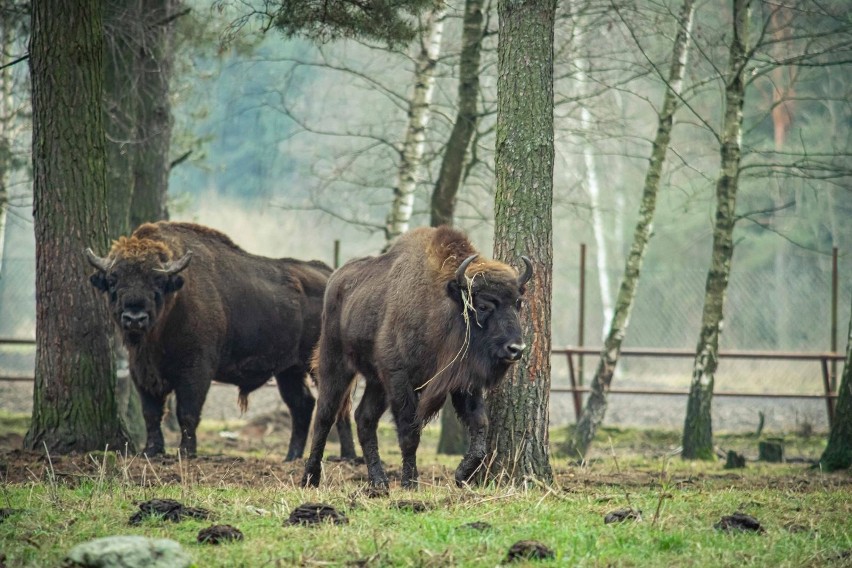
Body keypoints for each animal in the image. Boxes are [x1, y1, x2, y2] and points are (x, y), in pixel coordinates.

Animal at [85, 222, 354, 462]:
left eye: (157, 281)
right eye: (113, 279)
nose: (134, 318)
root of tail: (331, 276)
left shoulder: (196, 371)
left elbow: (187, 412)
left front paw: (186, 452)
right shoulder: (142, 372)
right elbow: (151, 413)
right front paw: (151, 451)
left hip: (320, 365)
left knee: (336, 404)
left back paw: (347, 457)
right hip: (289, 370)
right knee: (301, 405)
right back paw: (292, 456)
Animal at [302, 226, 532, 488]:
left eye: (517, 303)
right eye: (483, 306)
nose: (516, 348)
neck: (442, 305)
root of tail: (335, 280)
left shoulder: (463, 381)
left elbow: (479, 423)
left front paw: (462, 475)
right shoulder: (400, 379)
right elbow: (409, 432)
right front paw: (410, 482)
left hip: (376, 383)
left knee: (364, 419)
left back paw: (379, 483)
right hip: (336, 364)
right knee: (325, 415)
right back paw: (310, 478)